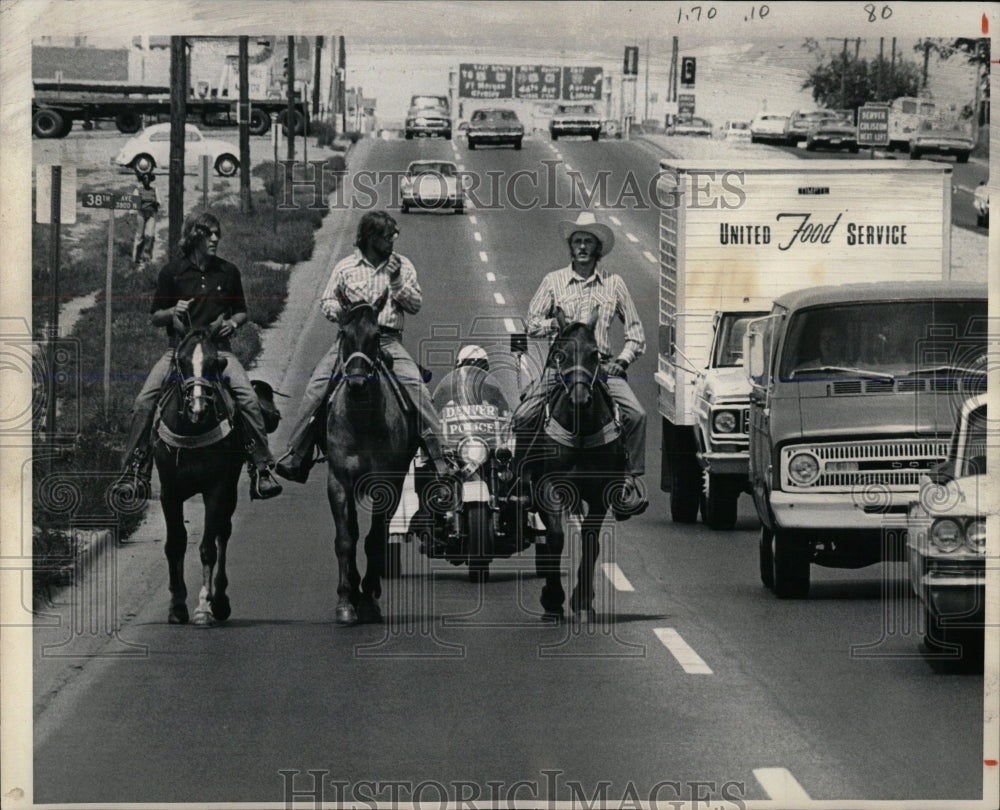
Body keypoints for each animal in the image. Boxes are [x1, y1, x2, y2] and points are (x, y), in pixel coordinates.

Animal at [154, 328, 244, 624]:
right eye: (180, 362)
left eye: (216, 362)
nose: (198, 409)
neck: (191, 431)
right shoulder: (169, 492)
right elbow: (175, 543)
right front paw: (177, 604)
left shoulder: (215, 489)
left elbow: (207, 547)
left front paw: (204, 606)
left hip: (231, 490)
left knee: (223, 533)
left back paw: (221, 601)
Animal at [324, 290, 418, 624]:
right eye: (343, 333)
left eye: (377, 335)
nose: (356, 384)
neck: (361, 419)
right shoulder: (338, 481)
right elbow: (345, 539)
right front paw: (345, 601)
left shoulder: (386, 485)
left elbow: (374, 539)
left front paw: (367, 599)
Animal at [532, 308, 624, 620]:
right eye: (560, 354)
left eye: (595, 354)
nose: (580, 398)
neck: (581, 430)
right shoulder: (549, 487)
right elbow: (556, 537)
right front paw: (553, 599)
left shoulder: (600, 494)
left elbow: (590, 539)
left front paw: (582, 598)